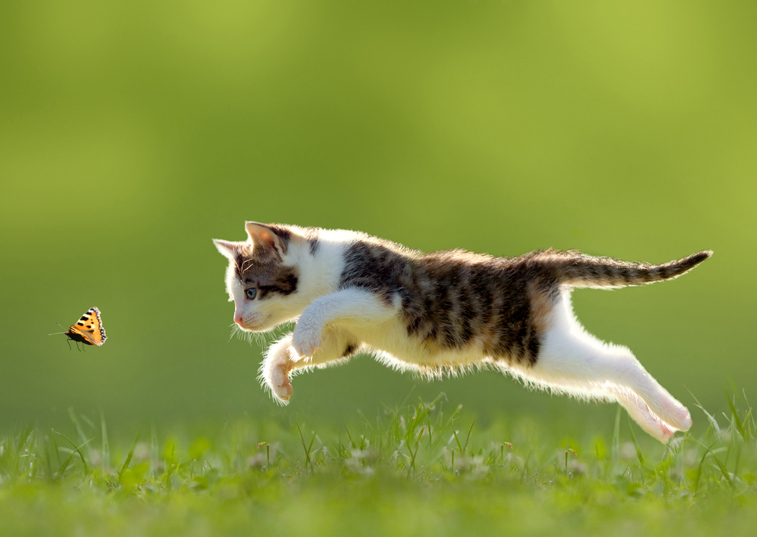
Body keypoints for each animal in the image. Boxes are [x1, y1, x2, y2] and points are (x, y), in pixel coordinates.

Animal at [213, 220, 708, 442]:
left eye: (252, 292)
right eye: (235, 296)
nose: (237, 319)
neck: (324, 264)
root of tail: (533, 264)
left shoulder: (380, 294)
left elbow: (320, 306)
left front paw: (300, 338)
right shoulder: (347, 336)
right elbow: (318, 342)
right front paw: (280, 373)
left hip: (539, 347)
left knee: (619, 361)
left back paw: (677, 415)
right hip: (549, 352)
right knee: (605, 379)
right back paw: (658, 426)